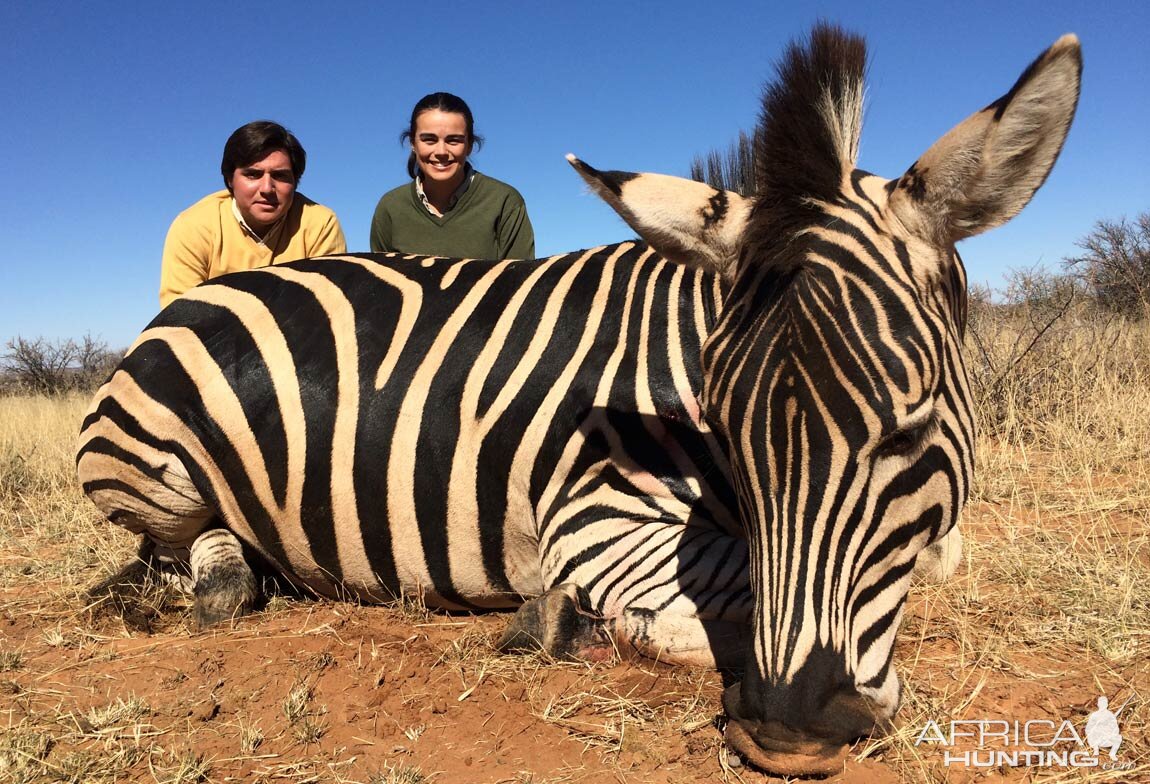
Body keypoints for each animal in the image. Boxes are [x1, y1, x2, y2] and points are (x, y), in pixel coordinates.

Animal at [76, 26, 1081, 777]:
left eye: (910, 431)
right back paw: (218, 581)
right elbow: (712, 593)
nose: (790, 735)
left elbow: (937, 555)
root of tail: (198, 298)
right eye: (726, 429)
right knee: (184, 553)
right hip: (142, 466)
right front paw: (564, 621)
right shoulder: (594, 518)